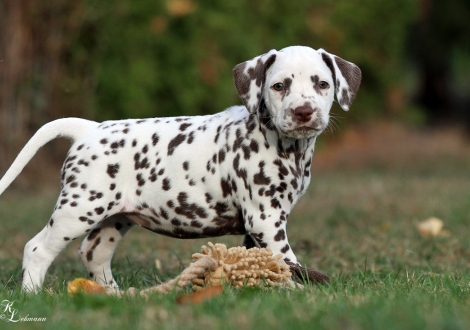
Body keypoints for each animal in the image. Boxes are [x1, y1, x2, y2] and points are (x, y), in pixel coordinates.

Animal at [0, 45, 362, 292]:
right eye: (279, 86)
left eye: (322, 84)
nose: (303, 112)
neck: (283, 145)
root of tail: (88, 129)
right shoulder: (265, 218)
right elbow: (285, 261)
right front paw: (296, 290)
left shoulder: (257, 226)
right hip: (79, 209)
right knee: (37, 249)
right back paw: (33, 296)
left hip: (113, 218)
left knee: (93, 253)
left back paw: (115, 296)